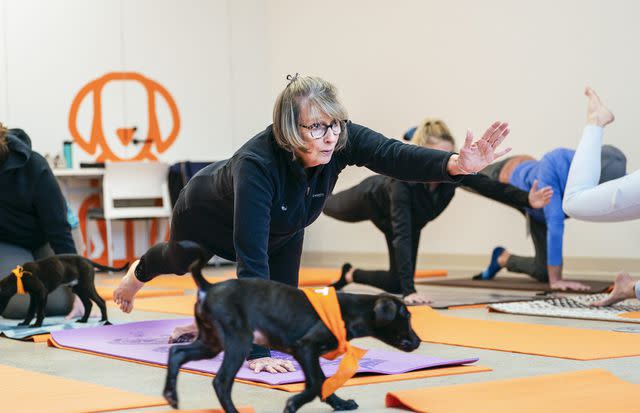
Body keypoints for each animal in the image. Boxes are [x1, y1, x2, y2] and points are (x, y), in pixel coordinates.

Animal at [162, 256, 420, 410]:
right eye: (407, 317)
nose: (418, 341)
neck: (350, 310)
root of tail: (208, 287)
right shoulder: (305, 348)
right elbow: (316, 384)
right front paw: (294, 403)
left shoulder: (308, 355)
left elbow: (321, 382)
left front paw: (339, 403)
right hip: (238, 342)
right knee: (221, 382)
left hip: (211, 342)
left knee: (177, 353)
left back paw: (171, 395)